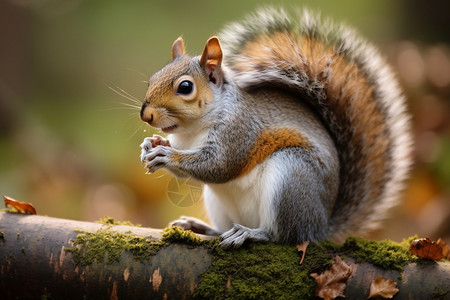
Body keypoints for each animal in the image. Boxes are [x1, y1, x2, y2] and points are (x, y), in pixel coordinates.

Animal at [139, 8, 414, 250]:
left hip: (291, 177)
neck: (192, 131)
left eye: (185, 87)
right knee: (225, 228)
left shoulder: (239, 131)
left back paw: (250, 234)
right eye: (152, 79)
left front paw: (166, 155)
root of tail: (320, 227)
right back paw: (202, 227)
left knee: (284, 236)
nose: (146, 115)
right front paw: (151, 145)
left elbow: (220, 166)